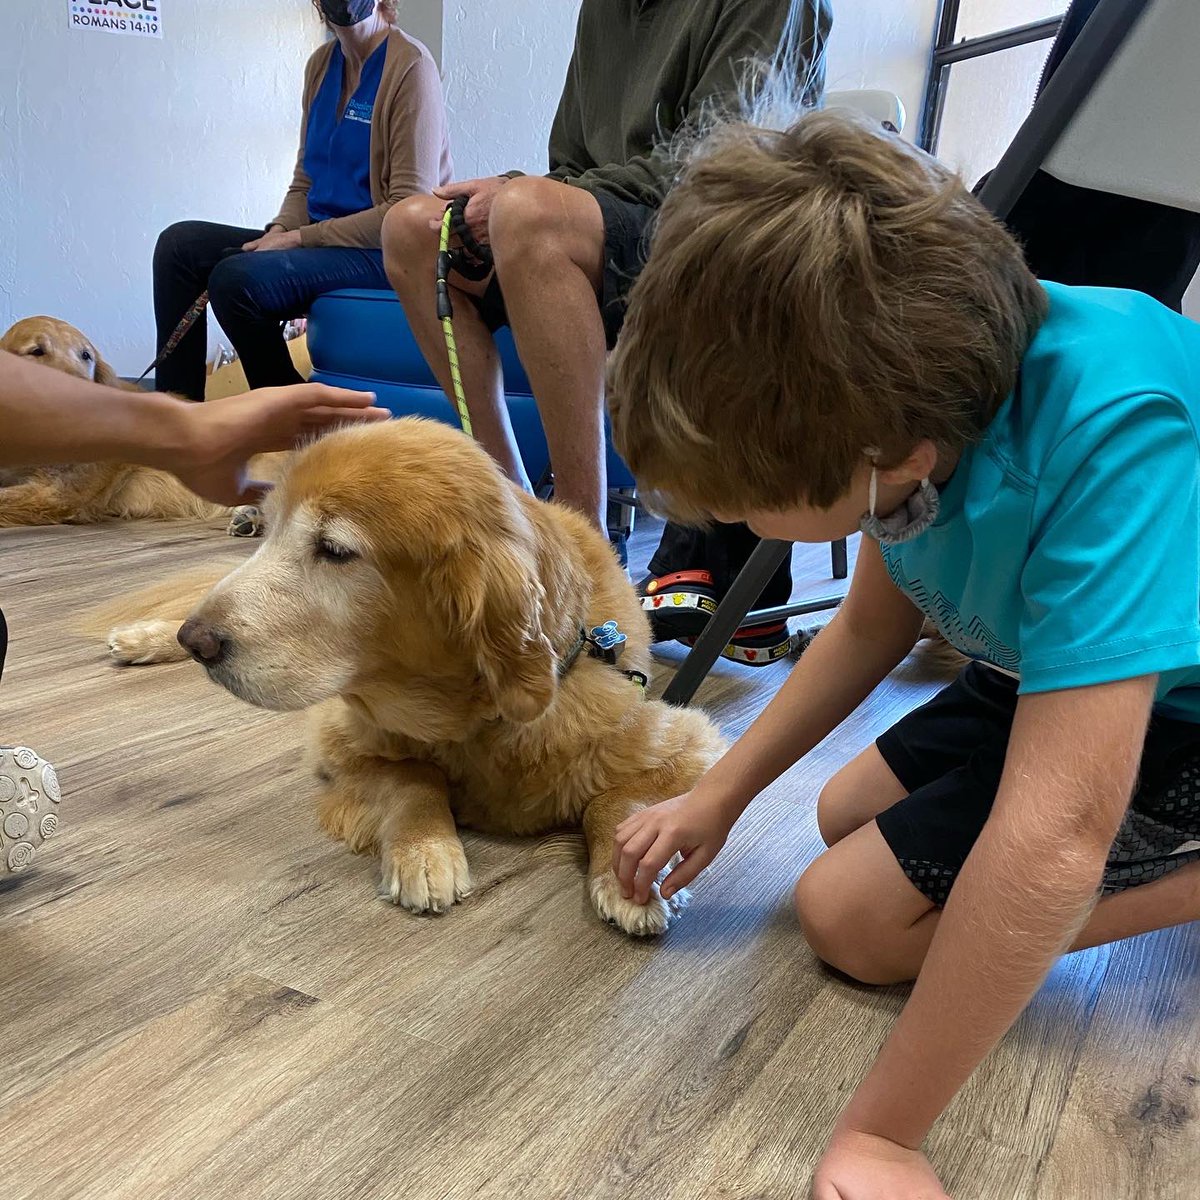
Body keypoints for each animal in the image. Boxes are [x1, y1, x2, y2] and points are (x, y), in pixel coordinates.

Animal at [102, 419, 727, 935]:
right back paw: (142, 637)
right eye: (275, 531)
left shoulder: (684, 743)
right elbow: (413, 776)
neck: (478, 720)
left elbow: (616, 802)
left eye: (333, 549)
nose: (198, 640)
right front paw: (425, 849)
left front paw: (629, 876)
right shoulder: (342, 741)